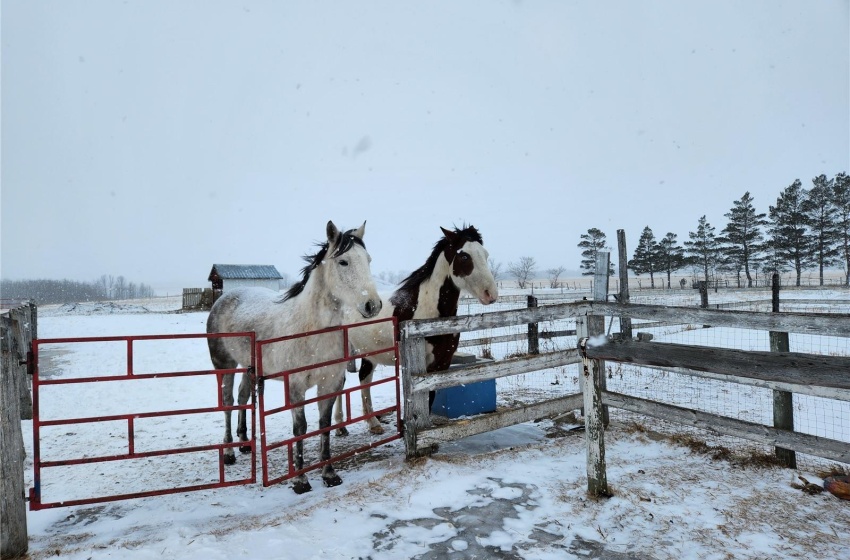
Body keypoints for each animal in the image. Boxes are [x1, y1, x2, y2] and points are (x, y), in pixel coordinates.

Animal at [204, 221, 380, 492]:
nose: (373, 305)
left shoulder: (329, 384)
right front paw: (301, 480)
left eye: (368, 259)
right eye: (343, 262)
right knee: (228, 402)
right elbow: (301, 428)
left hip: (249, 367)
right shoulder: (296, 387)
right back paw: (230, 452)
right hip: (225, 366)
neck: (310, 328)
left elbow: (324, 424)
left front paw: (329, 474)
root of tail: (222, 298)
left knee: (244, 396)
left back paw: (245, 443)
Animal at [334, 225, 496, 436]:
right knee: (340, 384)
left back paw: (372, 424)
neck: (427, 312)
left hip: (368, 353)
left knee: (364, 378)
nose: (491, 294)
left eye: (485, 254)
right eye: (464, 256)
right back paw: (340, 427)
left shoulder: (441, 362)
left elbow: (430, 395)